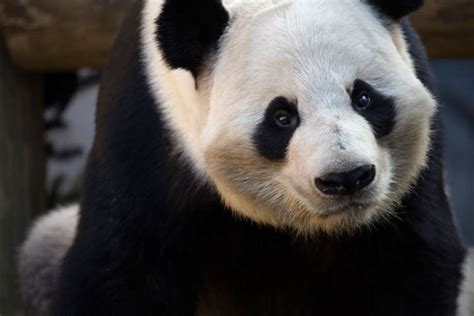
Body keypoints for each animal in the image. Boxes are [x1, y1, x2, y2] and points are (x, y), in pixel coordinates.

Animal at [18, 0, 474, 314]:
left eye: (363, 97)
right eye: (282, 117)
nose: (346, 178)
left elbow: (412, 258)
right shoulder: (145, 129)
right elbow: (121, 268)